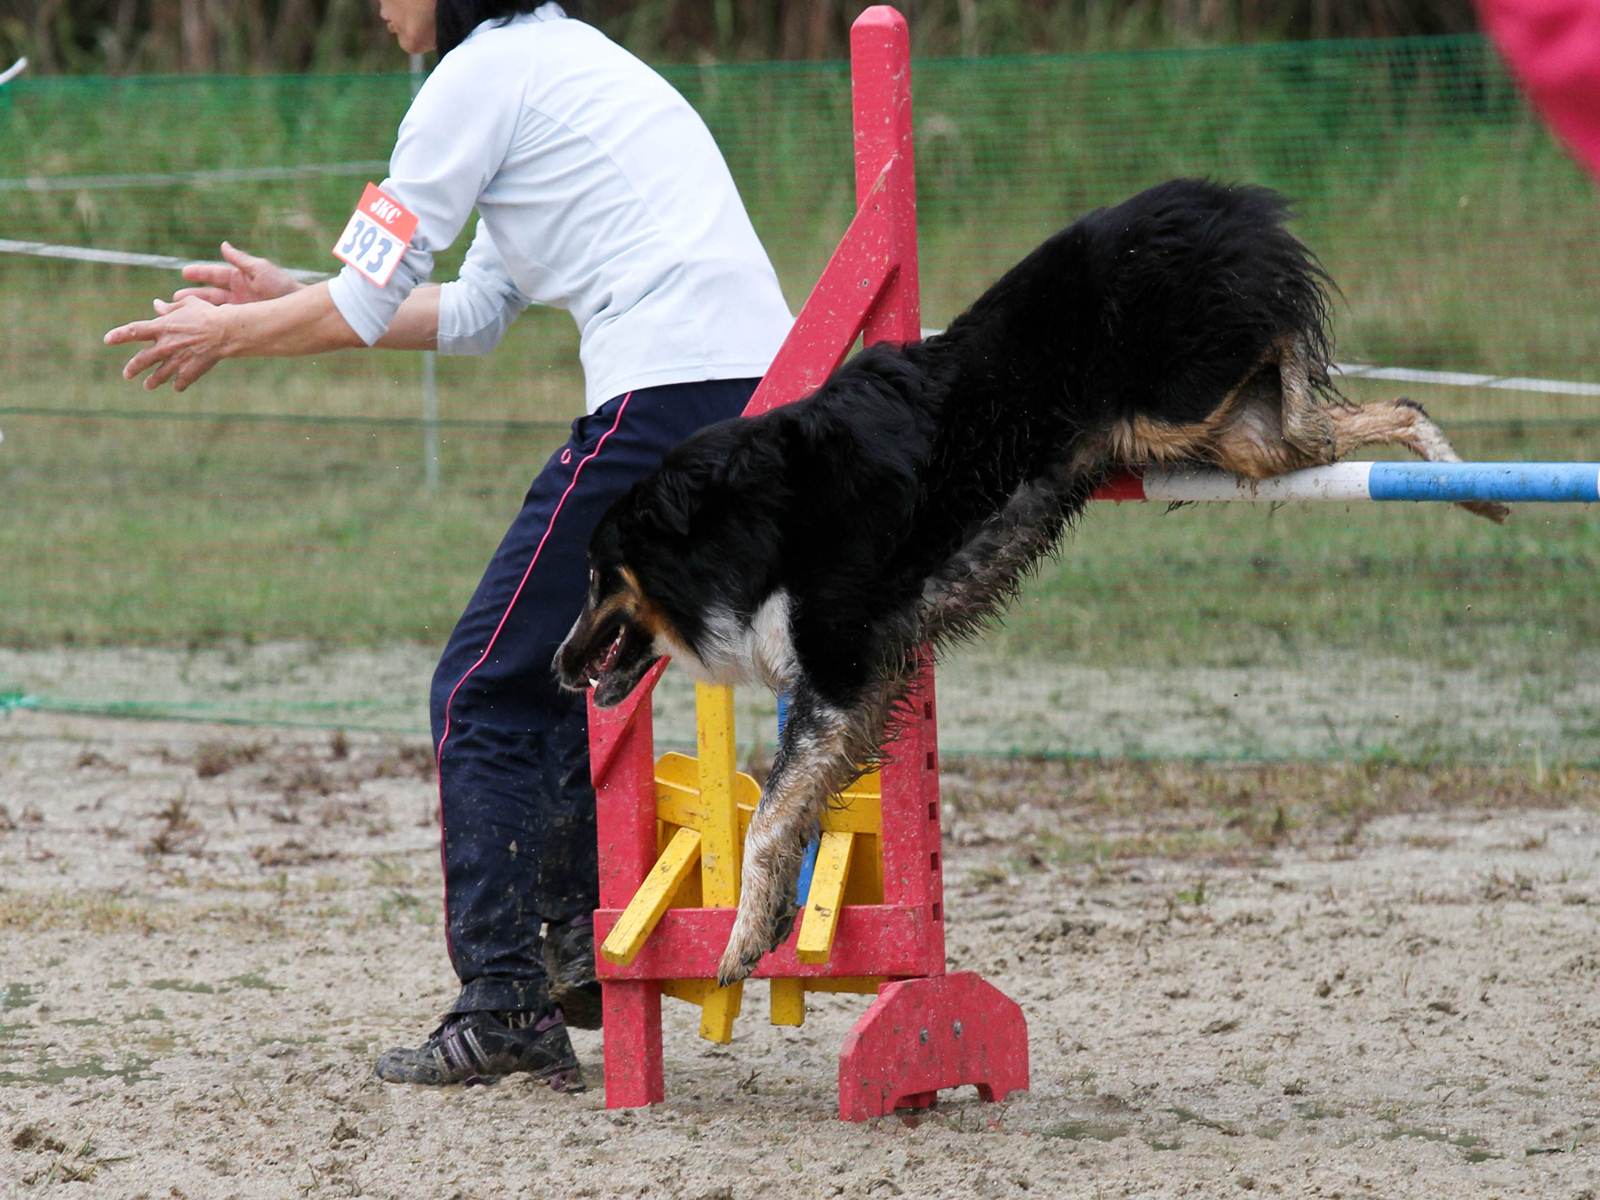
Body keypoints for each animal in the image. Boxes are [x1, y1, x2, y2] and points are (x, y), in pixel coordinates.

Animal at [550, 176, 1497, 985]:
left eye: (595, 577)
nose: (558, 667)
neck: (740, 522)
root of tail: (1218, 201)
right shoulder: (866, 682)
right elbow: (800, 802)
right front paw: (778, 915)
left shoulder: (838, 666)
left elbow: (771, 813)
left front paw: (743, 940)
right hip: (1230, 439)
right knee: (1376, 410)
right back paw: (1473, 490)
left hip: (1185, 406)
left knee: (1308, 376)